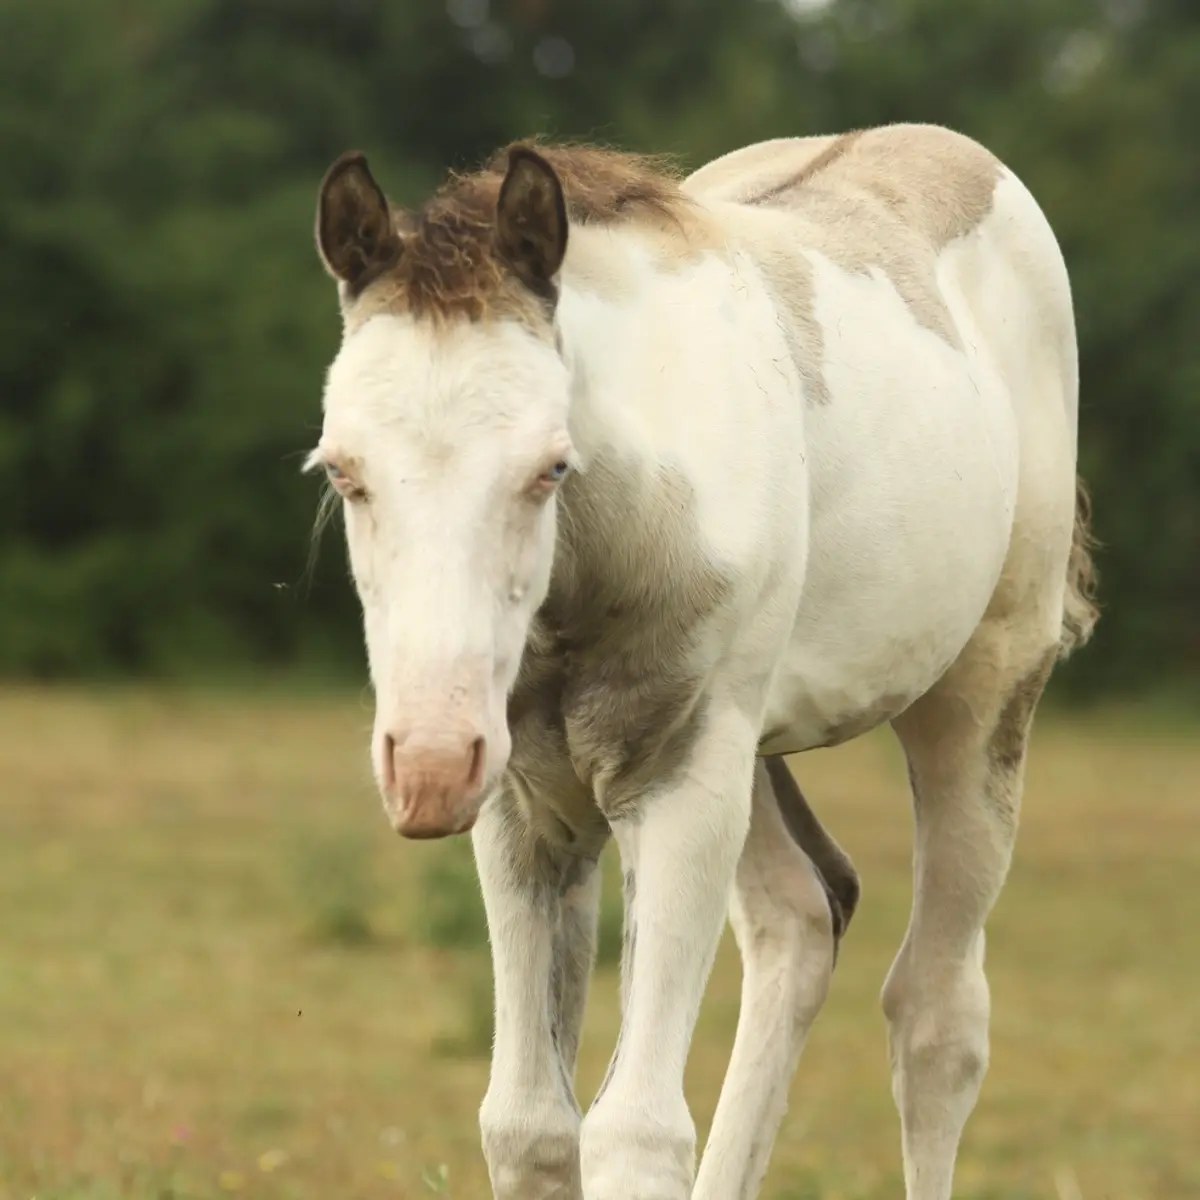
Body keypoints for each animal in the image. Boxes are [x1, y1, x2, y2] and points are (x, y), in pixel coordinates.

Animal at [304, 121, 1098, 1200]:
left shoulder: (676, 779)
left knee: (938, 1020)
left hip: (976, 694)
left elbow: (635, 1130)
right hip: (748, 748)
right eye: (345, 472)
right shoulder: (524, 803)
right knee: (801, 917)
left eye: (549, 467)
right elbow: (528, 1125)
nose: (428, 766)